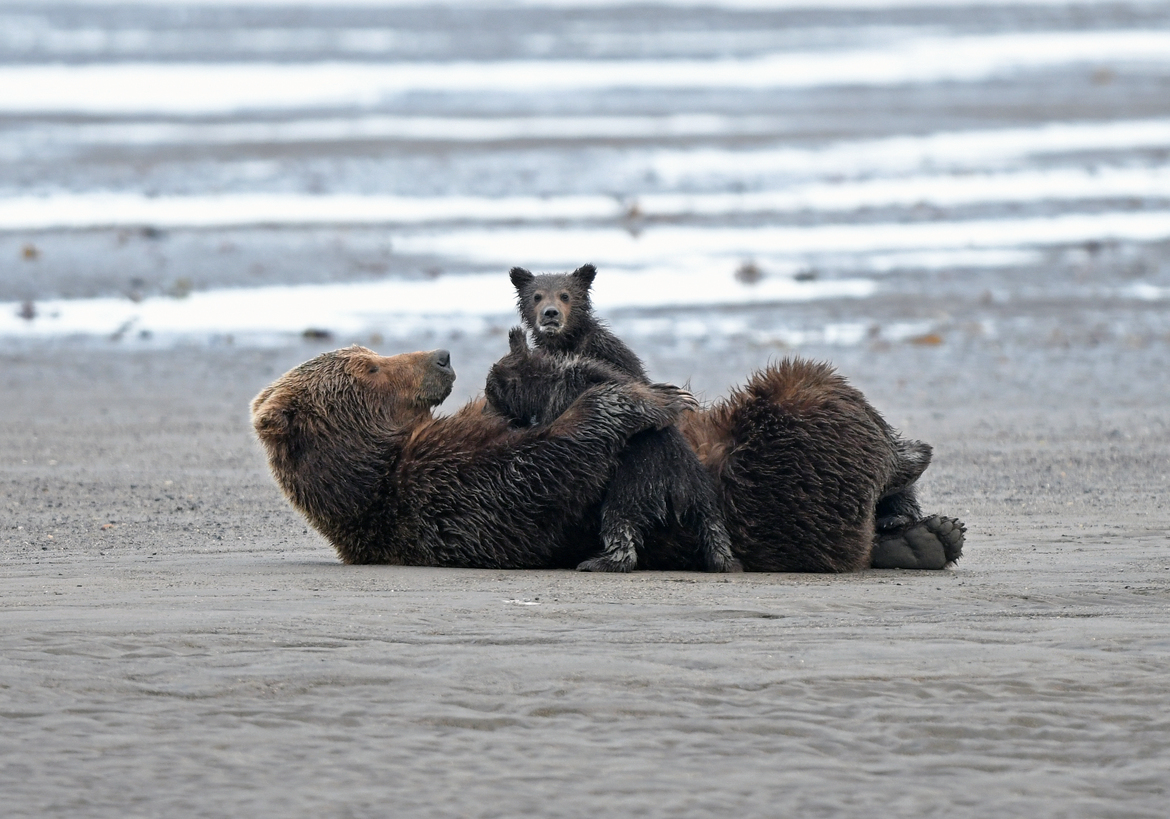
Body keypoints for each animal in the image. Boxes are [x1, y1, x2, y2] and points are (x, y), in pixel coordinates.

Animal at [251, 345, 697, 567]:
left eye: (372, 352)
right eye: (371, 367)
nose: (441, 357)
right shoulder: (443, 493)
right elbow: (539, 471)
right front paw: (649, 398)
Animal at [484, 327, 741, 573]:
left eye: (490, 392)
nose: (487, 410)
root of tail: (678, 490)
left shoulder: (562, 400)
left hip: (639, 483)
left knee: (618, 519)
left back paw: (601, 562)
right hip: (702, 490)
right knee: (714, 526)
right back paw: (723, 561)